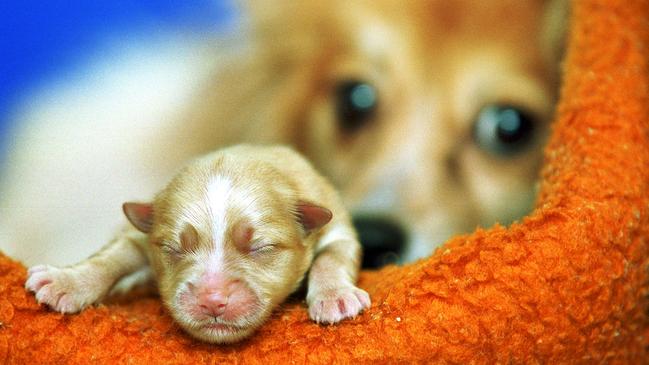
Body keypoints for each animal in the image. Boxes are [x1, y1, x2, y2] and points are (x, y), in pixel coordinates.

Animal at [25, 144, 370, 342]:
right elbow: (110, 256)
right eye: (172, 249)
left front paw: (335, 296)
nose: (212, 301)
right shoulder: (140, 236)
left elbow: (333, 257)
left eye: (261, 247)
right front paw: (66, 280)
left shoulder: (337, 227)